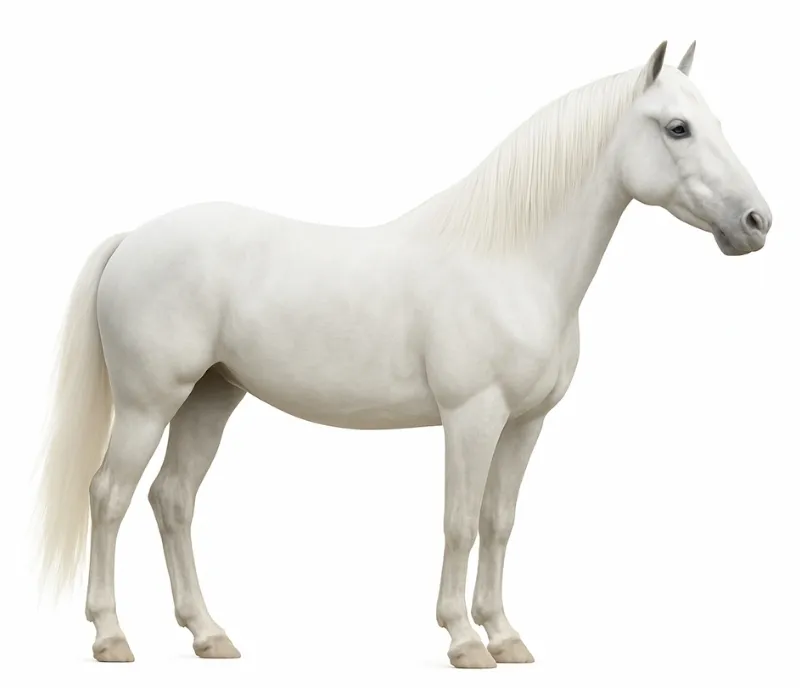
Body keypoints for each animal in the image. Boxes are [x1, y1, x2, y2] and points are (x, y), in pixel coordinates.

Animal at [35, 40, 772, 669]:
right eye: (677, 128)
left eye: (715, 122)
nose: (757, 222)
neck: (511, 261)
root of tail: (134, 239)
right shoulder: (472, 417)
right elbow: (459, 523)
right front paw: (464, 640)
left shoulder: (525, 424)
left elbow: (499, 522)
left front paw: (505, 636)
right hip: (149, 402)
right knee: (109, 495)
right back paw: (111, 637)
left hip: (211, 397)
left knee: (173, 499)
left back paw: (208, 634)